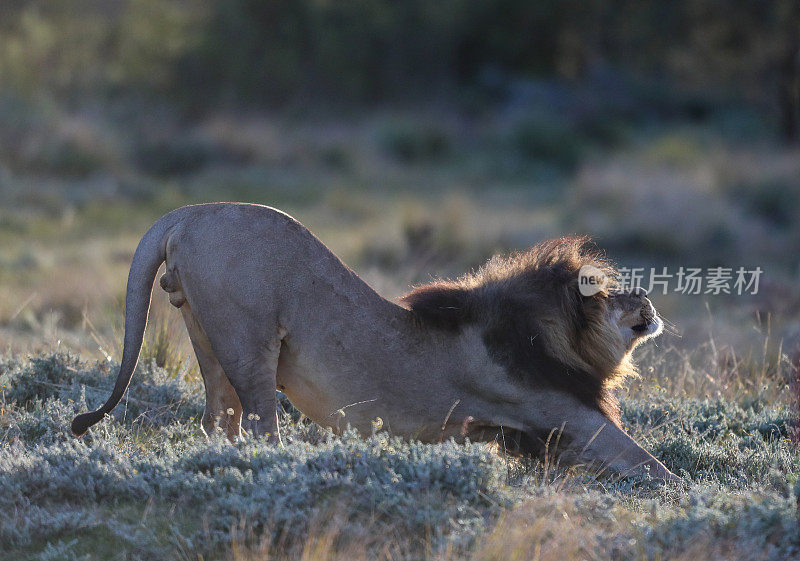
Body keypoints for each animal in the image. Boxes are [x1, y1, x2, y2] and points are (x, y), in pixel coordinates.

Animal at [73, 203, 676, 480]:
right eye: (609, 293)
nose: (648, 297)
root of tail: (190, 212)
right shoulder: (565, 412)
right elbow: (649, 463)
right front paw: (683, 490)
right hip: (250, 340)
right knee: (262, 422)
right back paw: (275, 465)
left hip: (205, 333)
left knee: (217, 417)